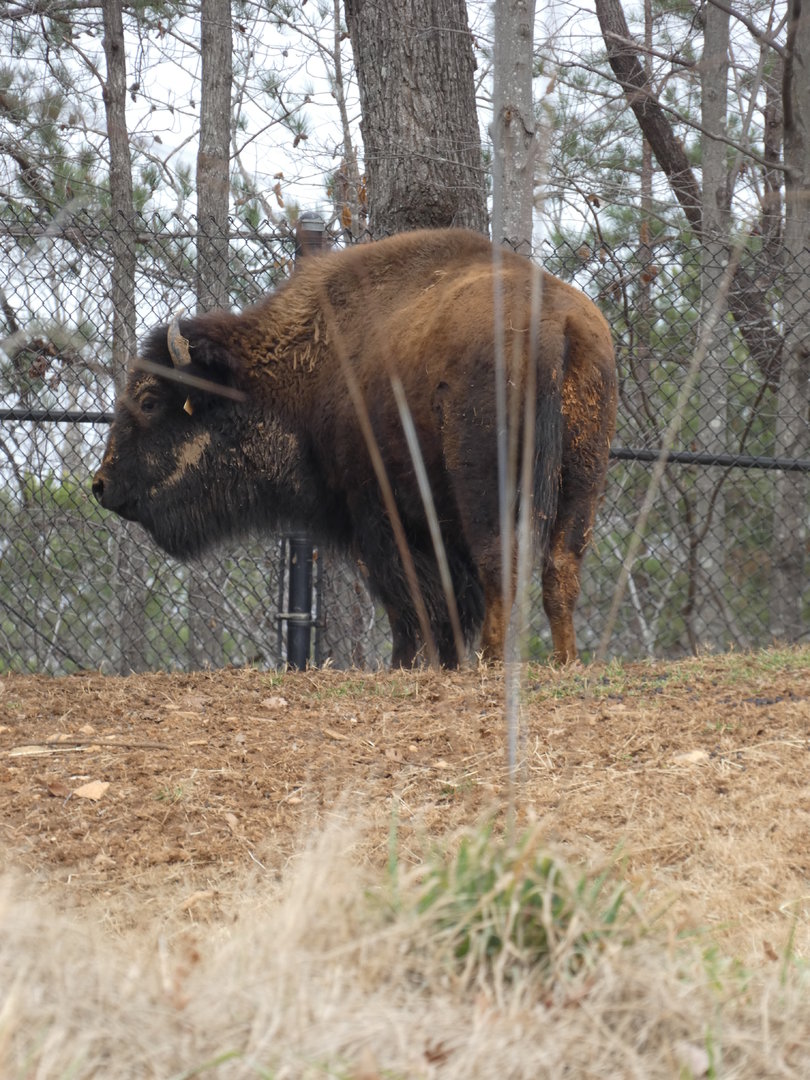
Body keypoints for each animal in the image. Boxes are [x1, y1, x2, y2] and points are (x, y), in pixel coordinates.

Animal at [93, 228, 616, 667]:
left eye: (149, 401)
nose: (101, 485)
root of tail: (554, 322)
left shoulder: (374, 512)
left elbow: (408, 597)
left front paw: (407, 663)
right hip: (584, 478)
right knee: (561, 567)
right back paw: (564, 661)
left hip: (486, 488)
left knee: (499, 566)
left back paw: (492, 661)